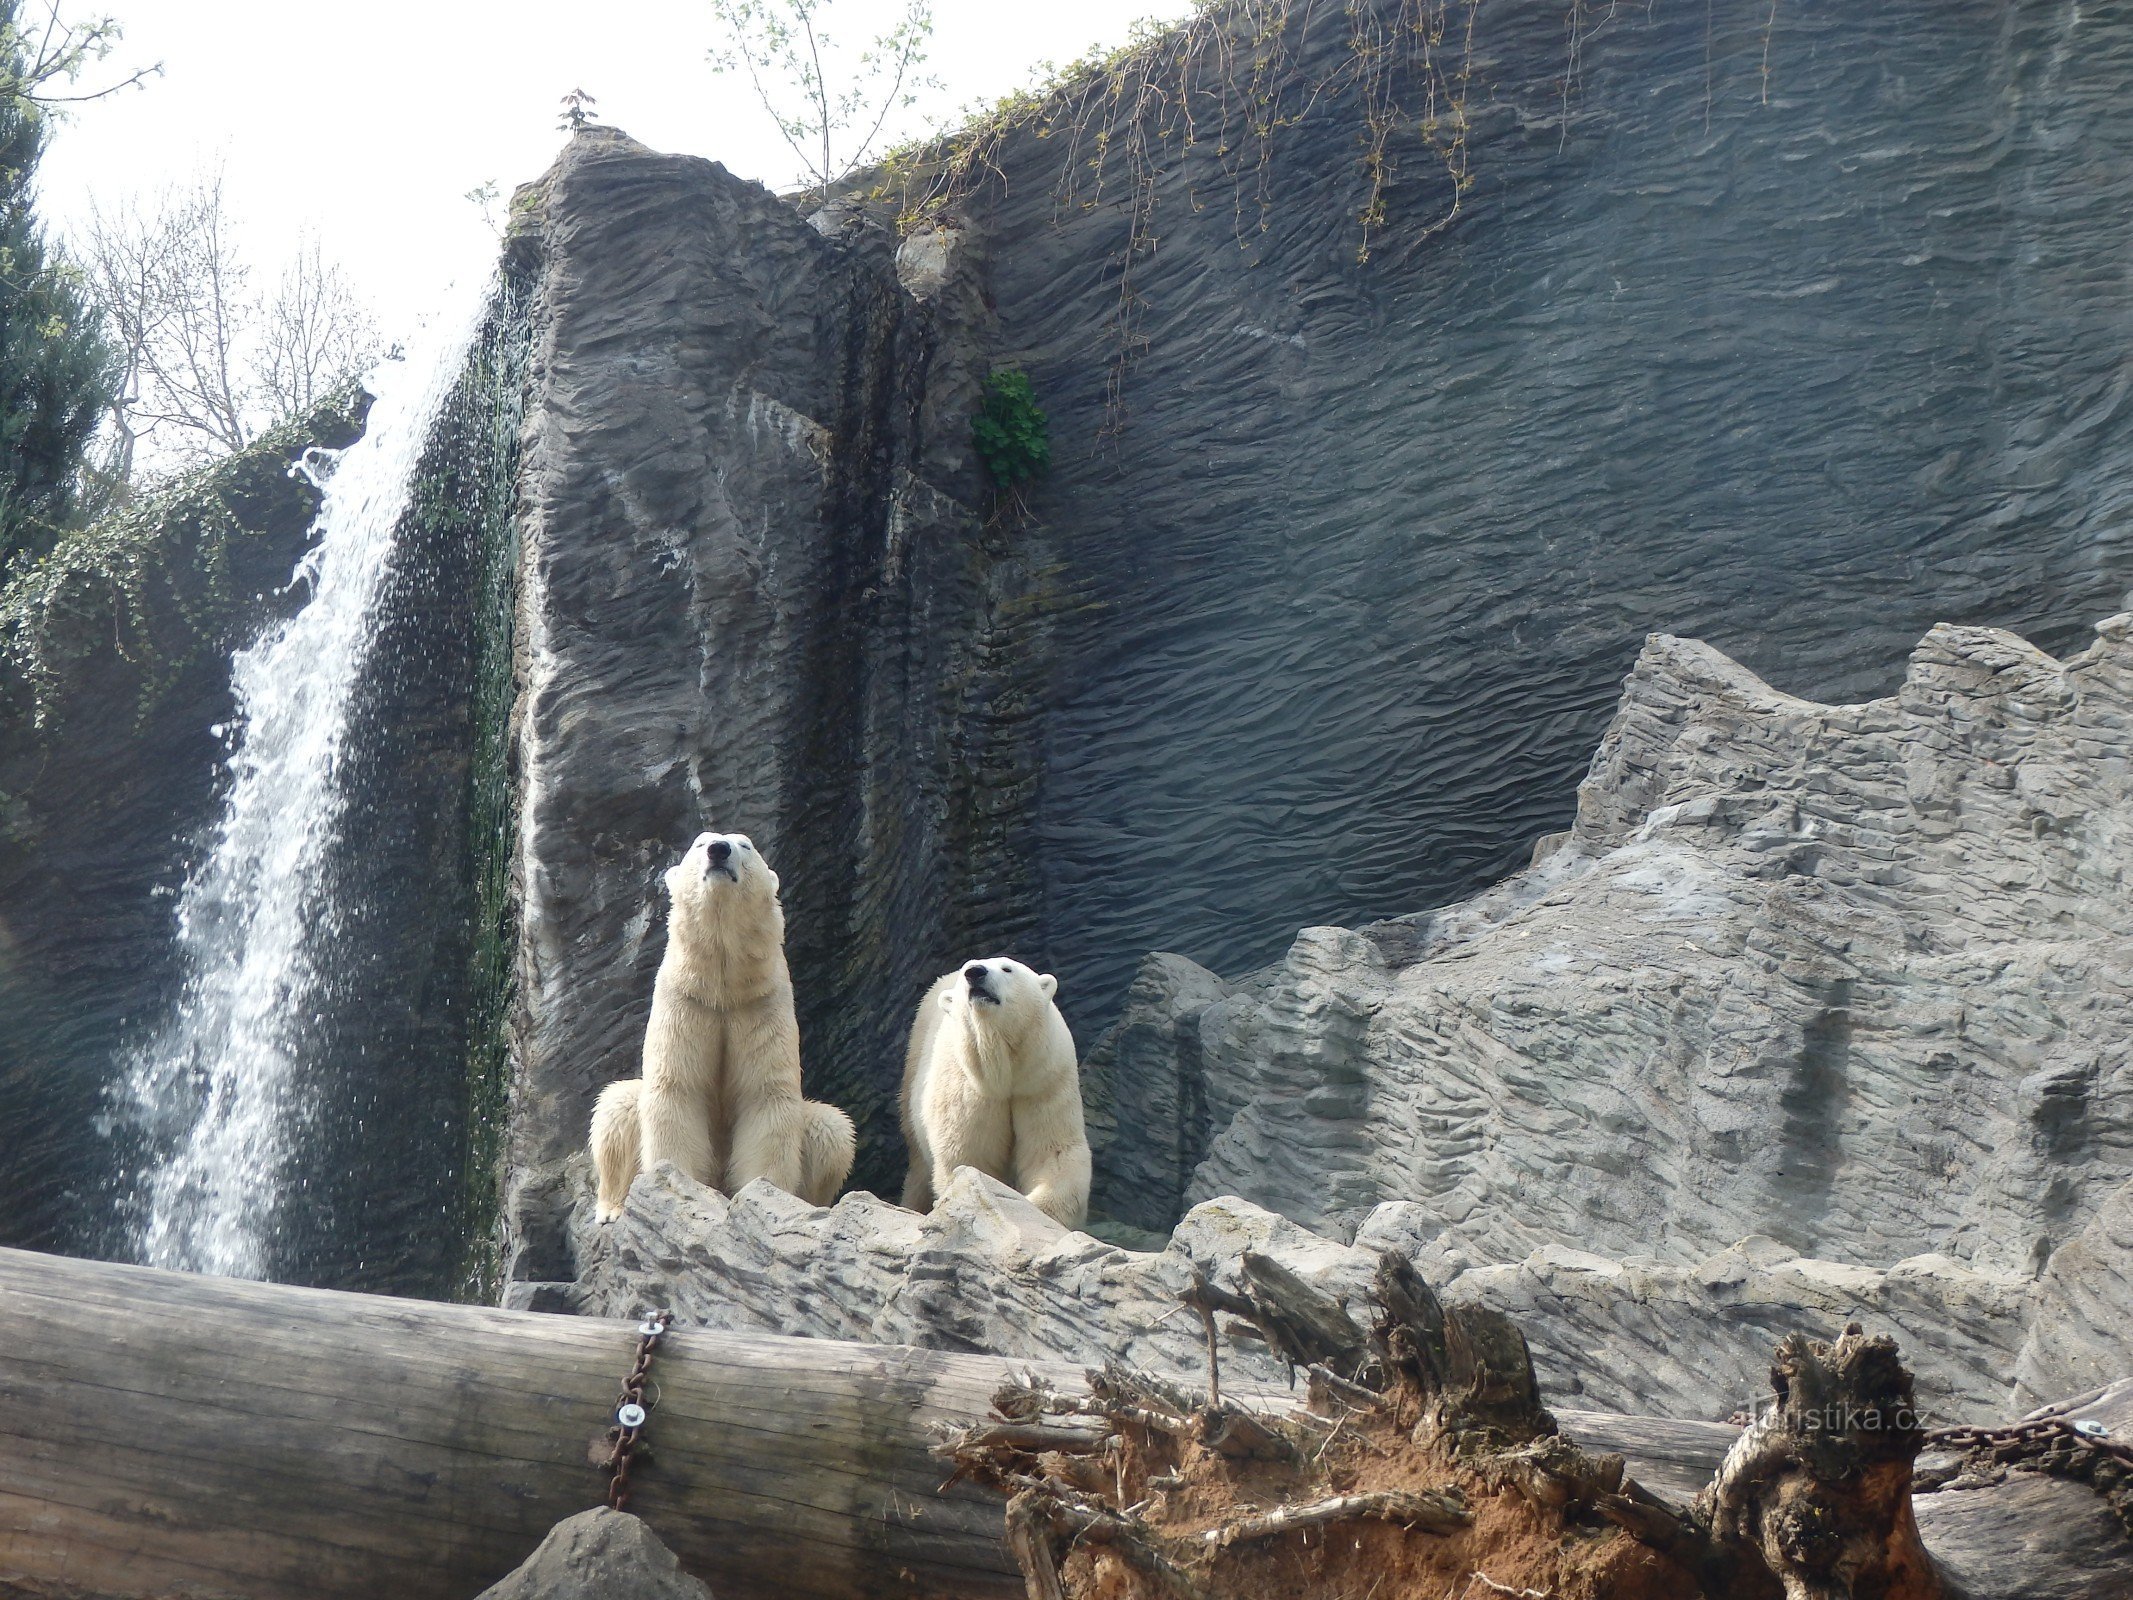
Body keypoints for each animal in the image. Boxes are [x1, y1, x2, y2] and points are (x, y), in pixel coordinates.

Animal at [588, 832, 853, 1220]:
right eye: (700, 844)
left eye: (745, 845)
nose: (719, 850)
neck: (723, 988)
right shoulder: (686, 1002)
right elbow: (677, 1088)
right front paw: (673, 1189)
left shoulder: (760, 1004)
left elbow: (765, 1096)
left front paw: (765, 1199)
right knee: (617, 1105)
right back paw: (613, 1208)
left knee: (831, 1127)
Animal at [895, 960, 1092, 1237]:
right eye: (967, 971)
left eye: (1007, 968)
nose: (975, 972)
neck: (1004, 1070)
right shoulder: (970, 1091)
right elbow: (970, 1155)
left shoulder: (1043, 1080)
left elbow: (1052, 1150)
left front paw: (1034, 1208)